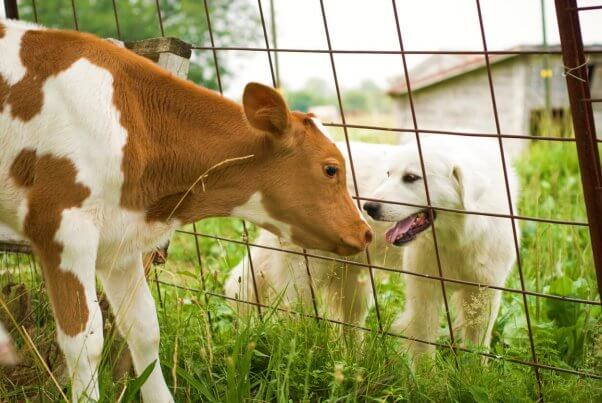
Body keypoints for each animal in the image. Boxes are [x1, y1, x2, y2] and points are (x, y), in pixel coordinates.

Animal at [0, 20, 370, 402]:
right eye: (331, 168)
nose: (365, 231)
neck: (131, 122)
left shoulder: (121, 242)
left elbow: (144, 330)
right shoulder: (62, 228)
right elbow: (84, 342)